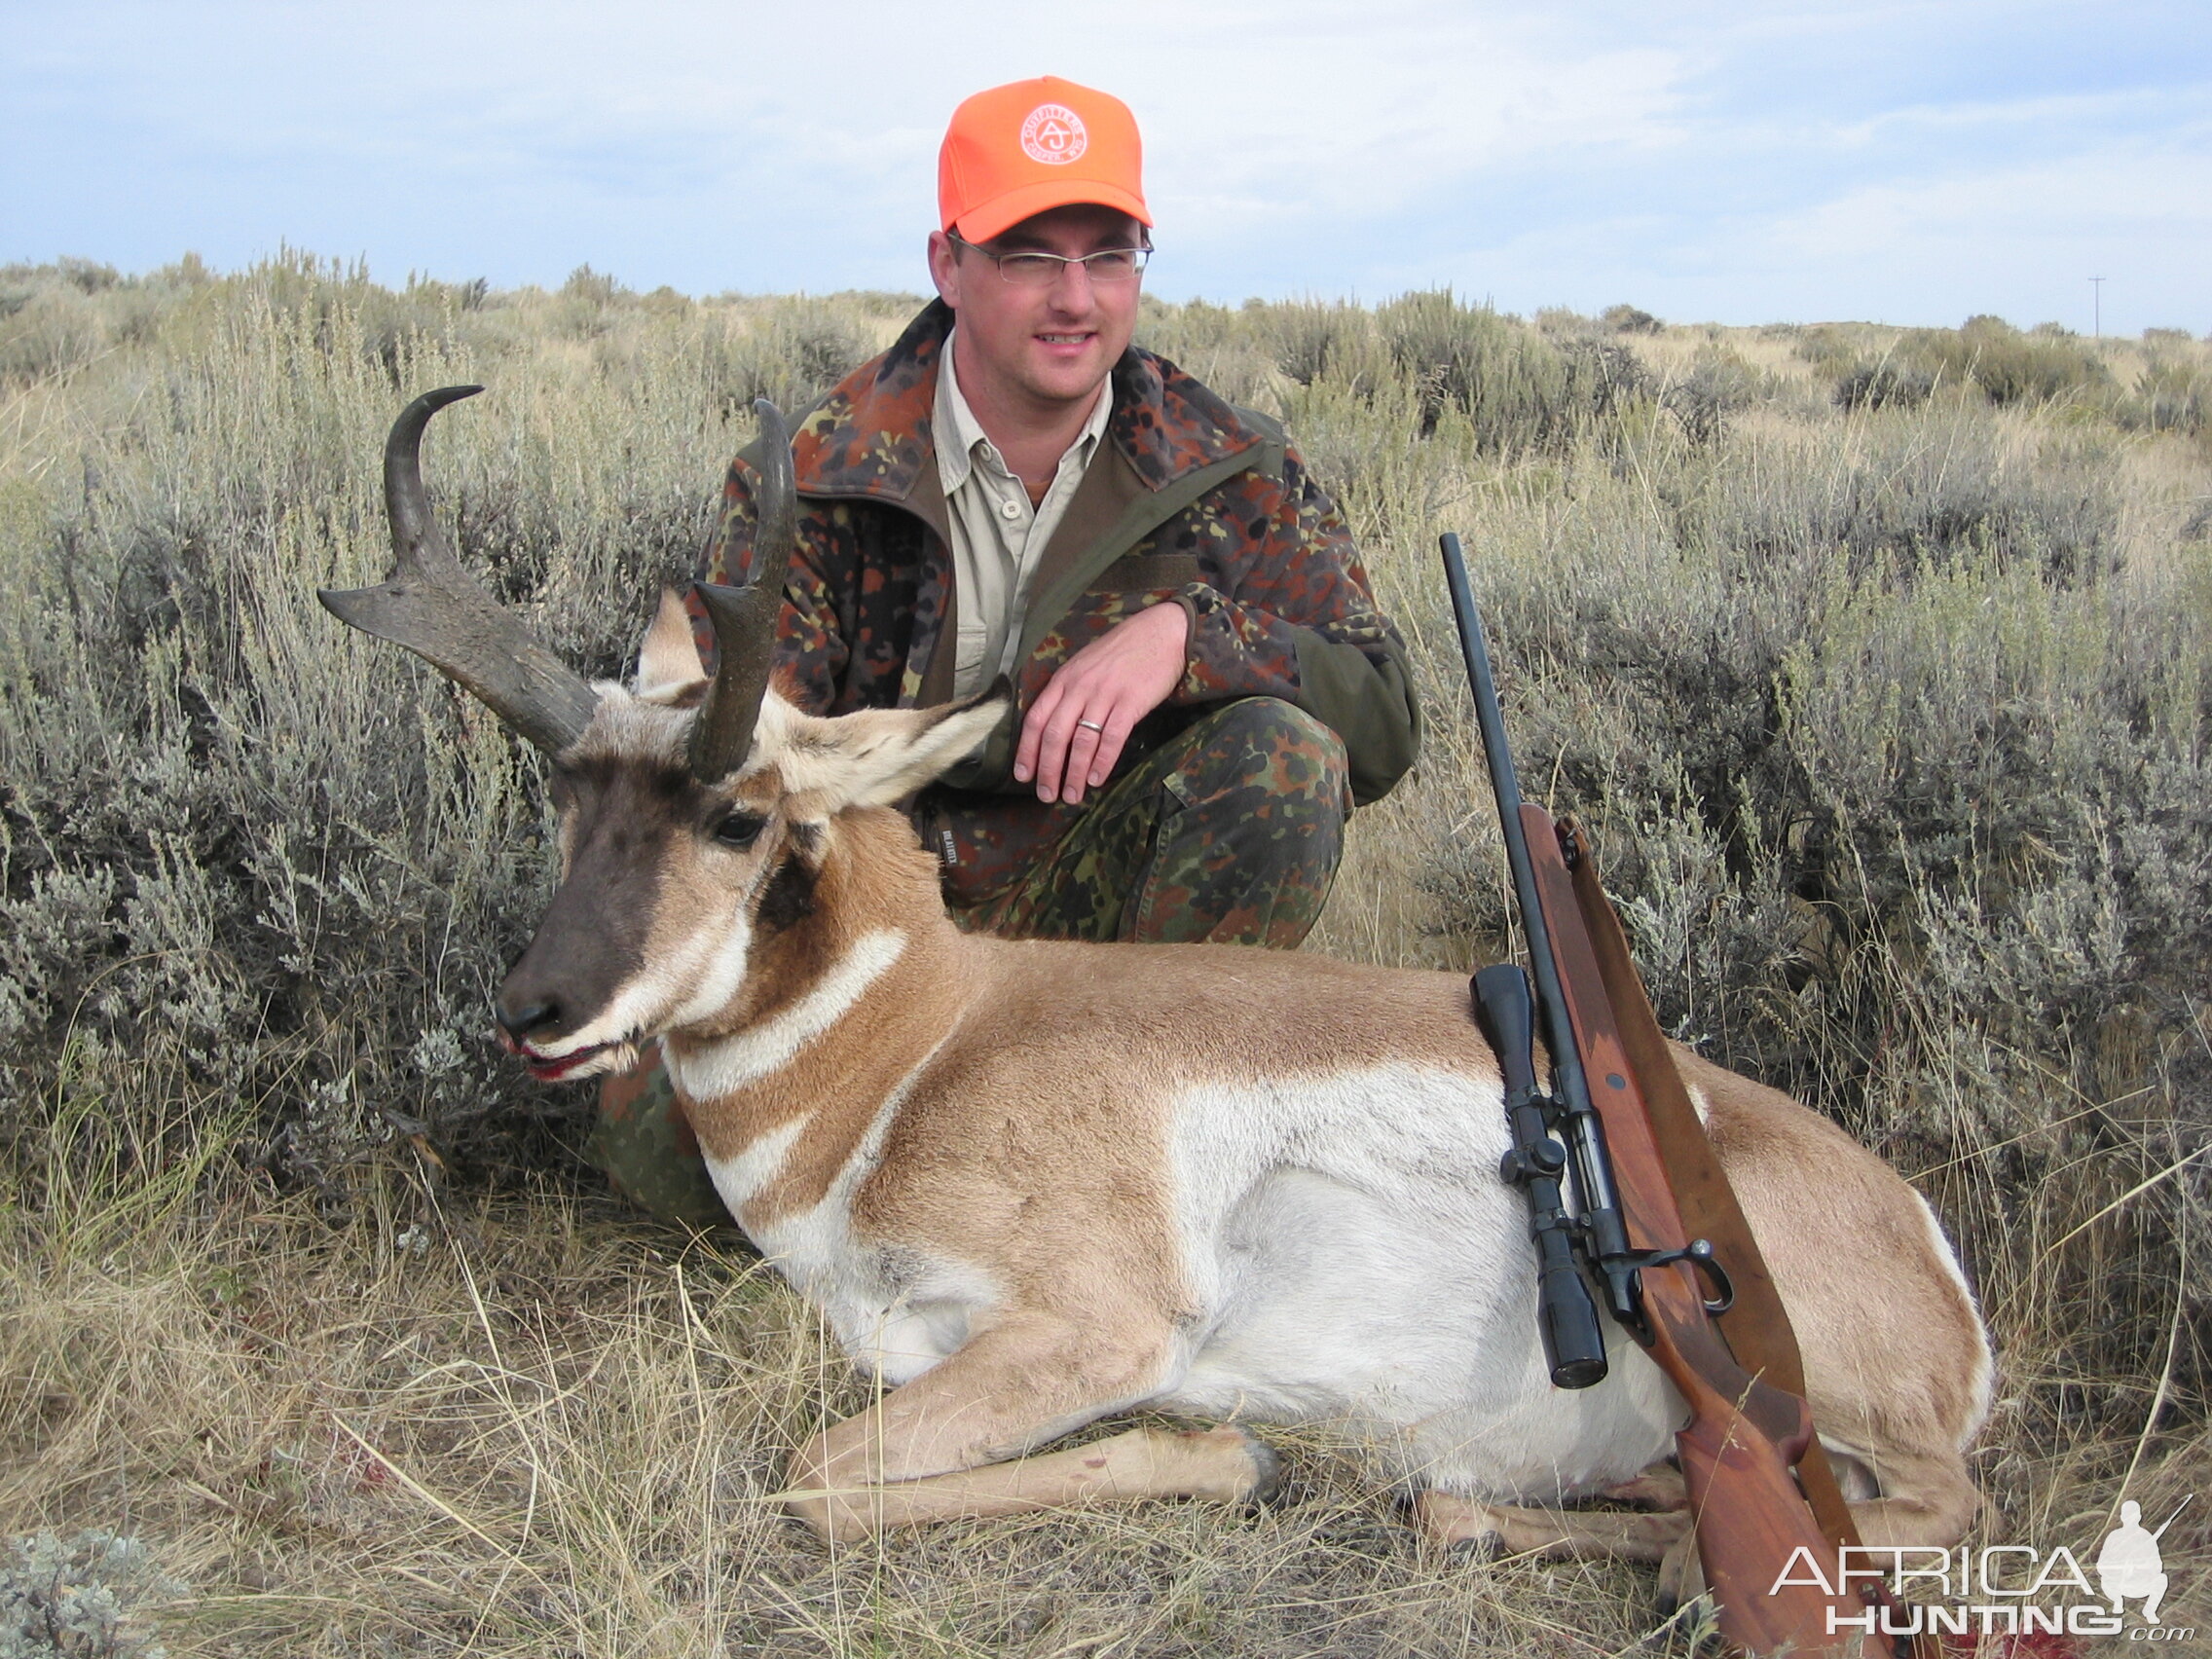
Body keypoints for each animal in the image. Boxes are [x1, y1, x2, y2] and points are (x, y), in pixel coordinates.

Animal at [322, 383, 1990, 1592]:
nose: (535, 1013)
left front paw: (1230, 1458)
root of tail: (1919, 1239)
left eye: (739, 818)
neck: (919, 1046)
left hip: (1833, 1407)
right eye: (564, 791)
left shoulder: (1097, 1328)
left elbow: (822, 1477)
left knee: (1929, 1507)